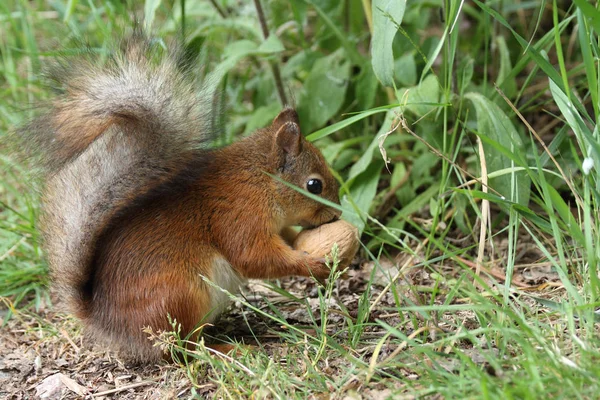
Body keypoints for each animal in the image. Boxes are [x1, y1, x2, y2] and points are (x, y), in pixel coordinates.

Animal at [22, 32, 342, 360]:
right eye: (314, 185)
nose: (338, 213)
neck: (260, 180)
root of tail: (108, 323)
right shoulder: (238, 215)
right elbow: (255, 257)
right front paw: (313, 266)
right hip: (182, 295)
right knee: (183, 347)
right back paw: (227, 348)